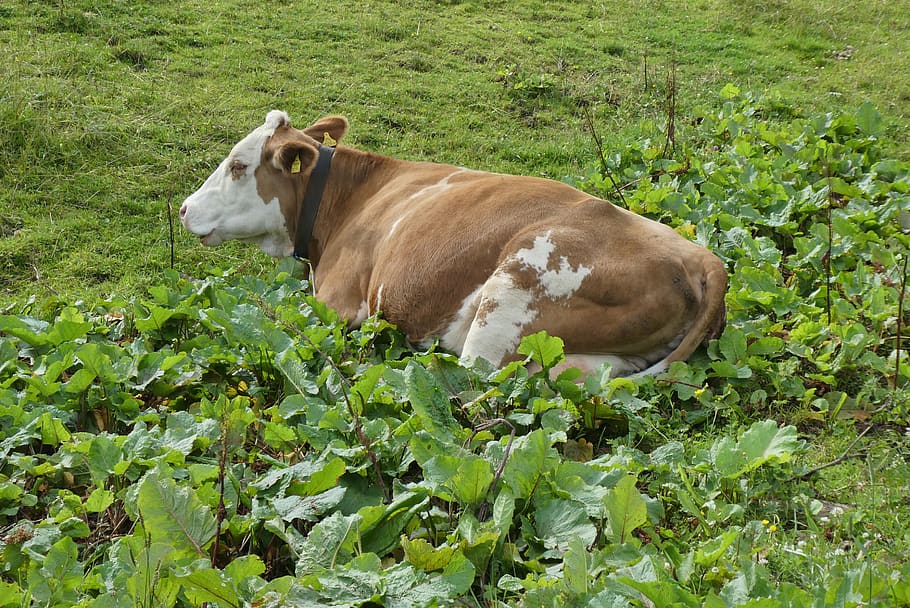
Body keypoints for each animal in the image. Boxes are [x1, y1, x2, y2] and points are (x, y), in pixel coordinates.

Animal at [180, 110, 727, 377]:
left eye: (237, 166)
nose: (183, 208)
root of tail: (703, 258)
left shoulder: (336, 303)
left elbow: (269, 314)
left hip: (510, 294)